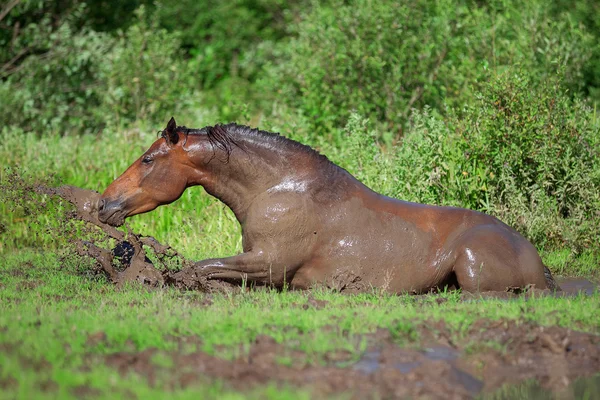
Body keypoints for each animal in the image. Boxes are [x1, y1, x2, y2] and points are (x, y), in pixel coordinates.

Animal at [98, 117, 556, 292]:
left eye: (148, 159)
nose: (103, 204)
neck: (274, 188)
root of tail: (533, 256)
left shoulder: (269, 264)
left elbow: (195, 268)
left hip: (473, 269)